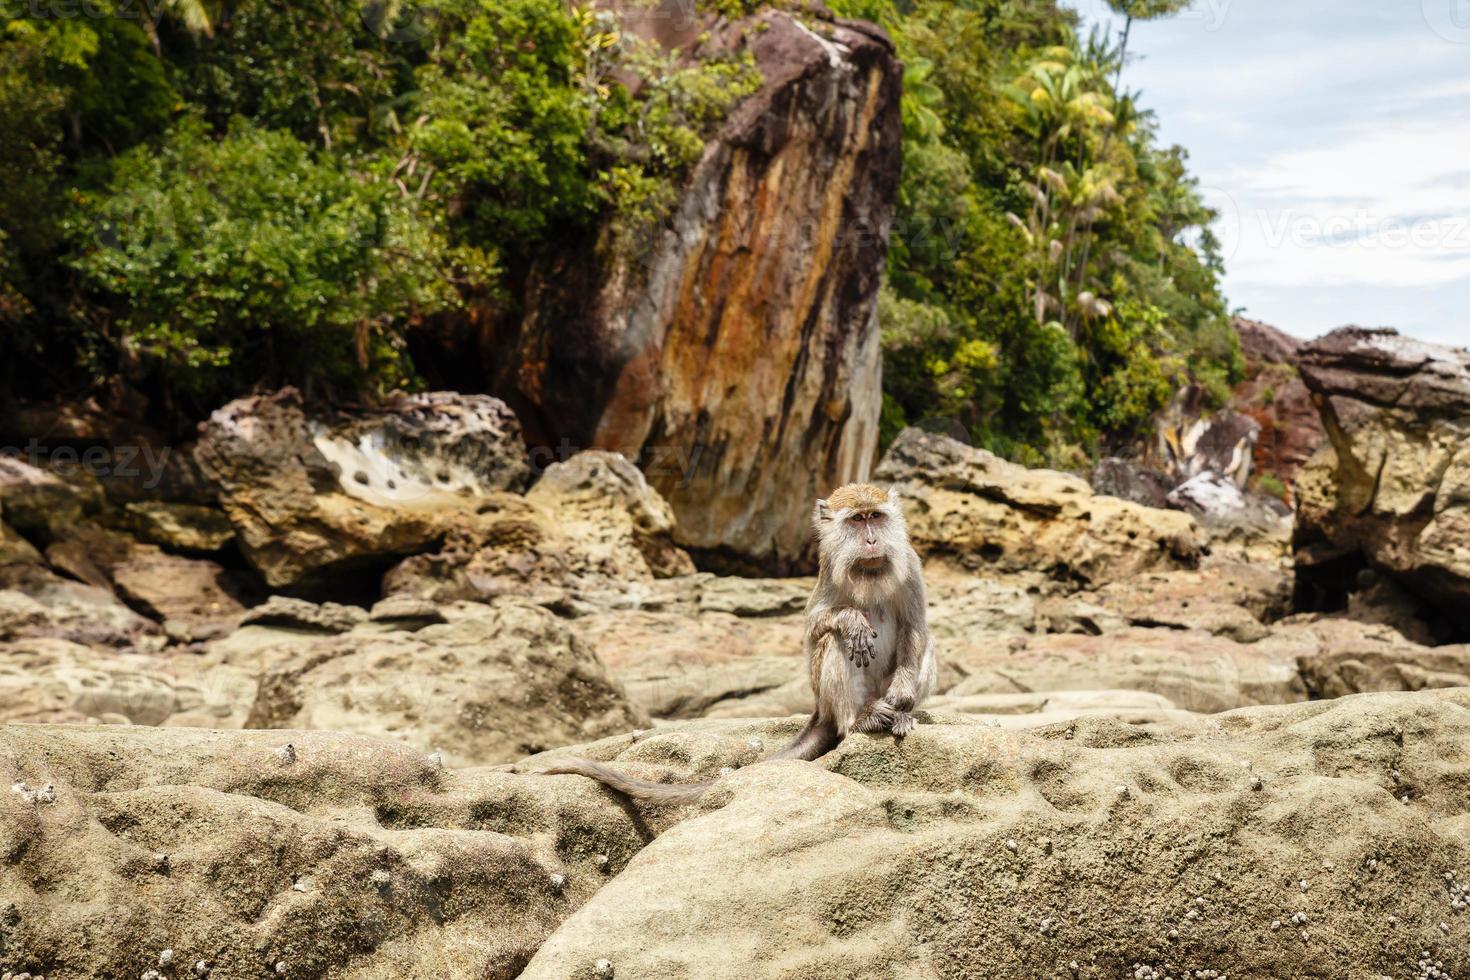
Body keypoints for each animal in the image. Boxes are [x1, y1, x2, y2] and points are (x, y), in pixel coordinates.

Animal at [535, 481, 934, 805]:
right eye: (856, 520)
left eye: (876, 517)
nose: (872, 540)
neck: (869, 571)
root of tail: (823, 709)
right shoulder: (828, 567)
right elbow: (814, 628)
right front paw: (851, 621)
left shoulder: (911, 562)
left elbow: (915, 626)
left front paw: (902, 694)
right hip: (831, 698)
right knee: (834, 643)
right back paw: (860, 719)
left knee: (925, 645)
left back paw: (900, 713)